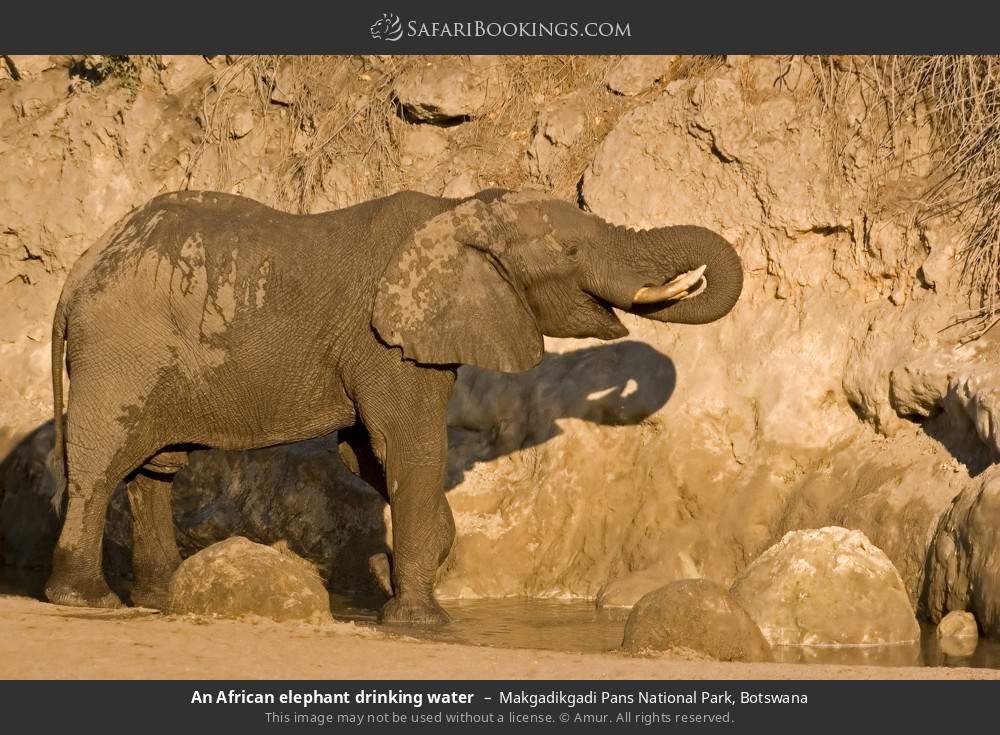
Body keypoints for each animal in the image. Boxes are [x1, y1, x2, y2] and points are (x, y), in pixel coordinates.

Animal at [43, 187, 742, 625]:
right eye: (569, 254)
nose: (692, 278)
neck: (458, 213)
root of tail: (78, 274)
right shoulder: (385, 342)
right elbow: (409, 447)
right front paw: (421, 620)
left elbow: (370, 457)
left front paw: (416, 569)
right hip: (120, 353)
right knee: (102, 465)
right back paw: (86, 602)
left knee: (152, 470)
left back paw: (157, 598)